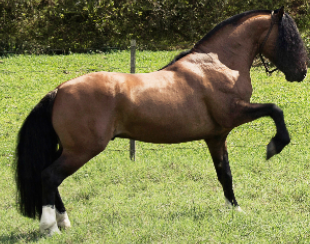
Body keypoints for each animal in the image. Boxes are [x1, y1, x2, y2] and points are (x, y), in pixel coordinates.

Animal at [13, 7, 306, 236]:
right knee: (50, 176)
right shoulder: (233, 114)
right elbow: (275, 110)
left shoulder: (216, 135)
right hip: (82, 150)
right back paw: (50, 227)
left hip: (69, 149)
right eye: (290, 37)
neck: (217, 64)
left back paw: (64, 222)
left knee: (51, 177)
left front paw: (235, 208)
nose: (302, 72)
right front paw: (275, 146)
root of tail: (59, 90)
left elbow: (225, 174)